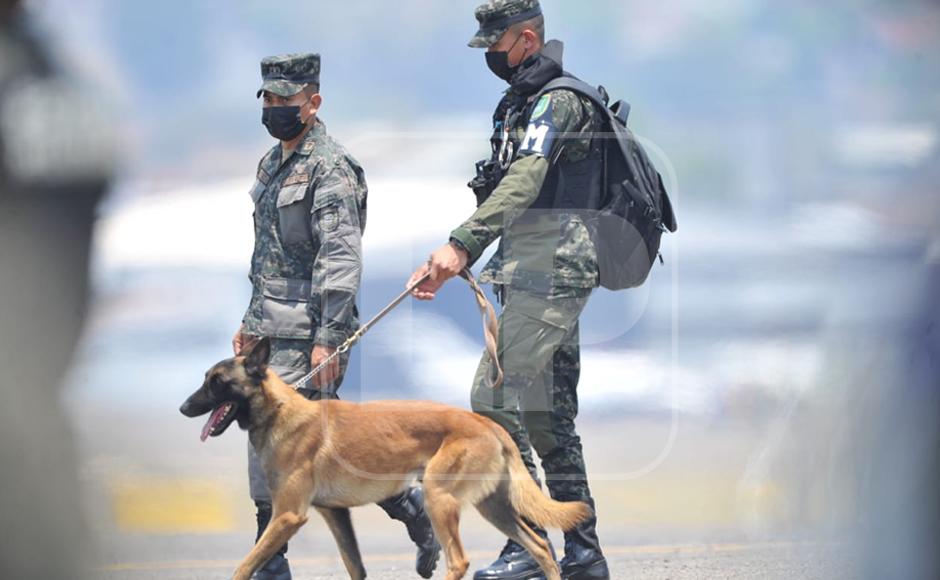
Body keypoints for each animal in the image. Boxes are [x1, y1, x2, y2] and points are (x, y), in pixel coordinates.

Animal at [181, 338, 592, 576]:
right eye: (206, 379)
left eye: (216, 382)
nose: (183, 408)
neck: (279, 410)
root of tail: (488, 424)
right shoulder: (336, 515)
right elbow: (355, 567)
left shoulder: (287, 516)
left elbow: (244, 565)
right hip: (493, 507)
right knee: (540, 547)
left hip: (440, 499)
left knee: (459, 560)